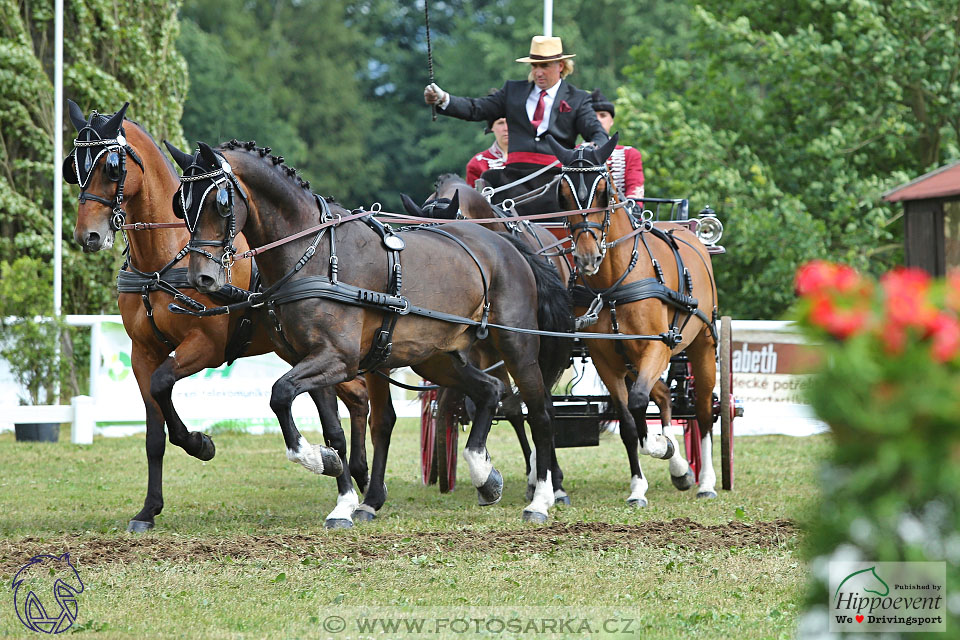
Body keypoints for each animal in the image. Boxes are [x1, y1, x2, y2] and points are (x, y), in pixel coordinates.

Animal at [64, 101, 372, 528]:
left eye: (111, 166)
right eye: (73, 165)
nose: (88, 235)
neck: (164, 261)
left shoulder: (205, 348)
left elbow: (163, 386)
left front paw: (200, 443)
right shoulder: (142, 353)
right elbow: (154, 433)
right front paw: (148, 510)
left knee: (352, 405)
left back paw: (356, 487)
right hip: (303, 352)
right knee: (351, 401)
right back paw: (356, 479)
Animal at [176, 139, 572, 520]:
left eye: (221, 204)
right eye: (182, 206)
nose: (201, 278)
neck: (315, 254)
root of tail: (506, 244)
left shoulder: (339, 358)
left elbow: (280, 392)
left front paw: (318, 462)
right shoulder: (308, 358)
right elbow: (331, 430)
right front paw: (342, 493)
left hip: (516, 343)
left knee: (538, 410)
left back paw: (542, 497)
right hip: (435, 357)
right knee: (490, 390)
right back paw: (484, 475)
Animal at [548, 135, 720, 504]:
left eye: (604, 193)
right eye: (562, 195)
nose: (587, 257)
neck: (614, 284)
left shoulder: (658, 347)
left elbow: (641, 405)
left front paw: (661, 447)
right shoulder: (606, 359)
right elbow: (629, 421)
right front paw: (639, 485)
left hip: (701, 345)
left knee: (703, 411)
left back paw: (706, 481)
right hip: (632, 361)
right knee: (664, 397)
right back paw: (681, 468)